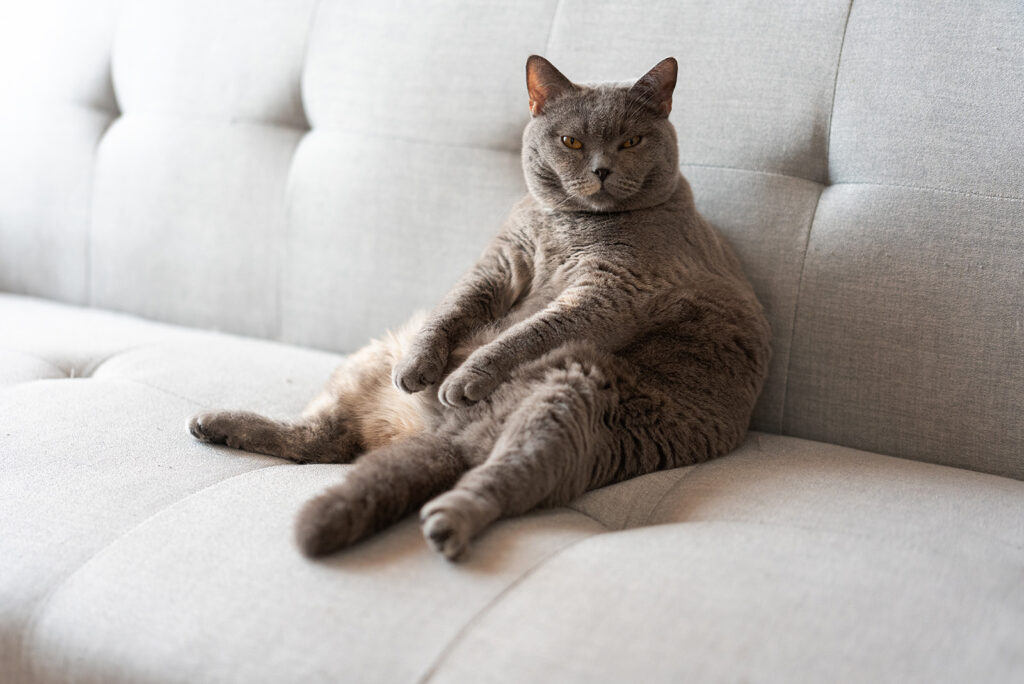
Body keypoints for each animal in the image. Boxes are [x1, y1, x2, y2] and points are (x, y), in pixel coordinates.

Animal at [190, 54, 770, 561]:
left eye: (631, 140)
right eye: (571, 140)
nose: (603, 169)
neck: (566, 227)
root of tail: (445, 435)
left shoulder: (613, 290)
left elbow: (532, 330)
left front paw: (465, 377)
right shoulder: (502, 262)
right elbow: (456, 307)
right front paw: (422, 368)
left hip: (574, 401)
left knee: (498, 477)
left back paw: (449, 519)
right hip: (370, 357)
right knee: (322, 440)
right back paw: (216, 423)